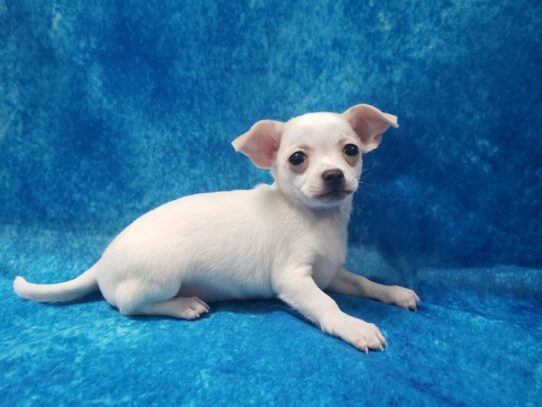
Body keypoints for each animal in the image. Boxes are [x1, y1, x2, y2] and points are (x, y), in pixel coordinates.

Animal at [11, 103, 420, 352]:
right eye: (297, 159)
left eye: (351, 151)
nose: (334, 175)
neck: (316, 219)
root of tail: (101, 263)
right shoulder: (295, 280)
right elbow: (327, 305)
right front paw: (354, 326)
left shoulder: (330, 272)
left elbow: (363, 283)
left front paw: (395, 292)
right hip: (162, 276)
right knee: (129, 306)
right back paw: (184, 305)